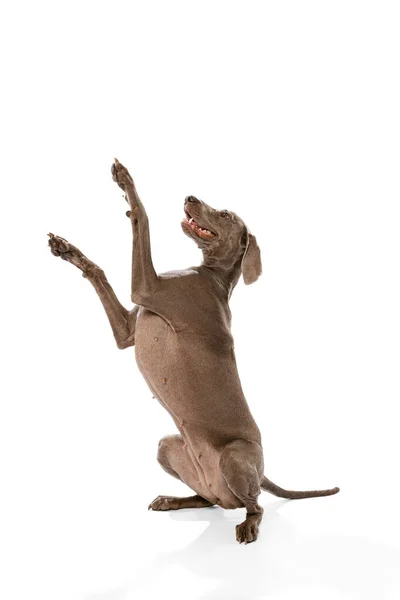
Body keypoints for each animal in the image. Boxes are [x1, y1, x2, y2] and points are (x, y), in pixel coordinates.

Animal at [48, 159, 340, 544]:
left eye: (225, 214)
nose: (190, 196)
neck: (211, 274)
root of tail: (260, 473)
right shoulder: (128, 330)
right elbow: (98, 272)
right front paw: (67, 250)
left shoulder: (147, 288)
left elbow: (141, 218)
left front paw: (126, 183)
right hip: (168, 446)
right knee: (209, 499)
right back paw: (173, 500)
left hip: (235, 455)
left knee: (256, 506)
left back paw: (248, 526)